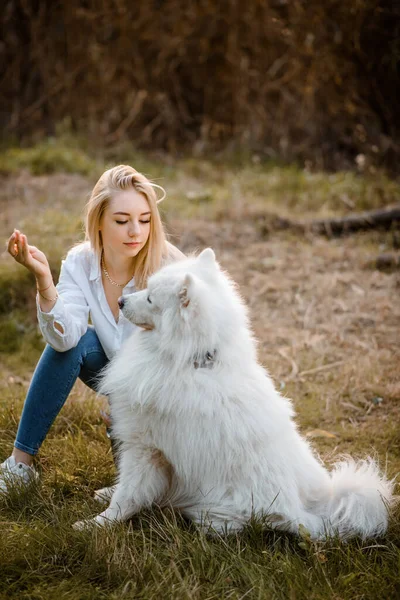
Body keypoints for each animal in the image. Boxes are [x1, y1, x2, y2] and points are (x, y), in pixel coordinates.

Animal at [74, 248, 394, 540]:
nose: (120, 301)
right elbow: (127, 488)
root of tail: (313, 510)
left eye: (151, 298)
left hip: (224, 509)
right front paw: (106, 498)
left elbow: (129, 495)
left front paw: (95, 524)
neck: (191, 361)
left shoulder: (146, 447)